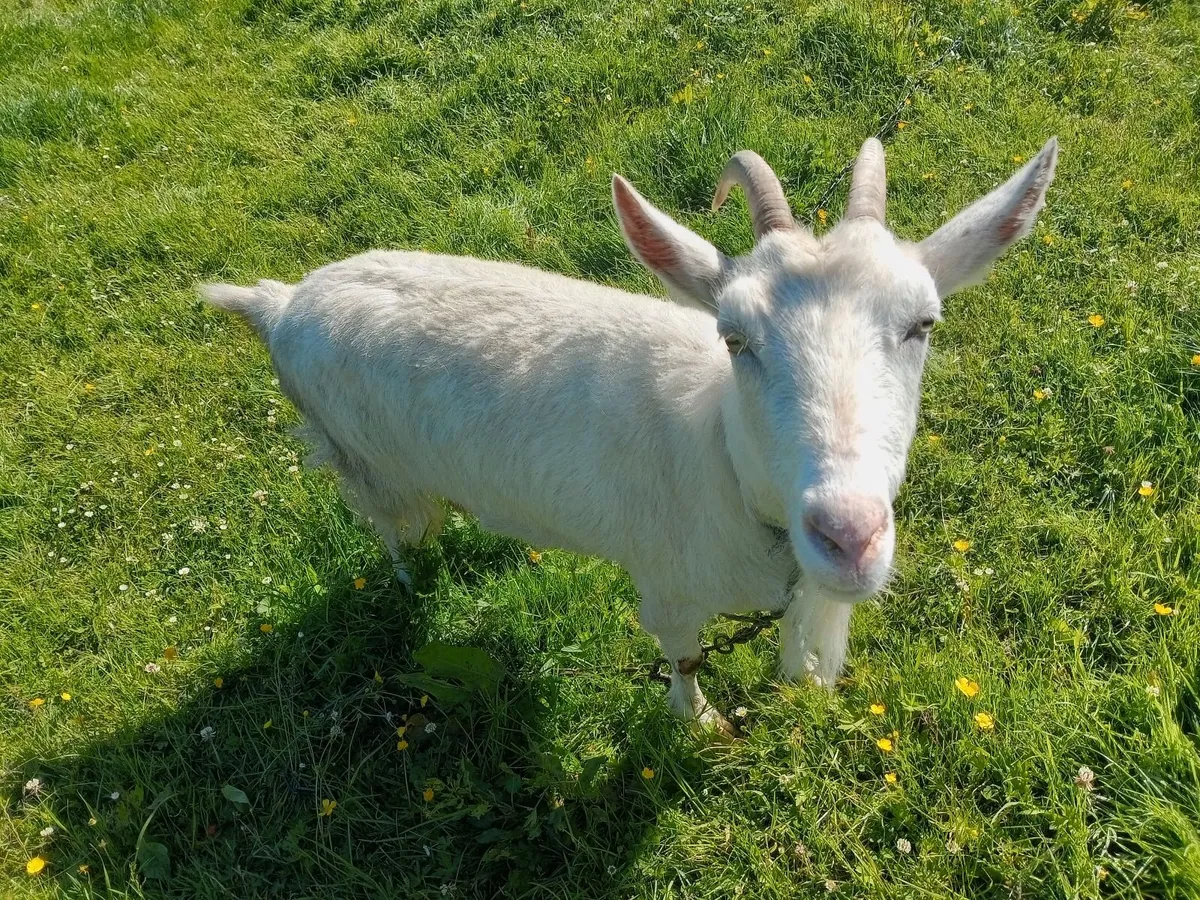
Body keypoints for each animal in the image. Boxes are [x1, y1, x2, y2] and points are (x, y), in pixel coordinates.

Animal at [203, 138, 1058, 732]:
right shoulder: (667, 589)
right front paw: (700, 723)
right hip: (364, 465)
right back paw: (417, 582)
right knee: (391, 532)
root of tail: (279, 302)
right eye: (734, 338)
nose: (848, 536)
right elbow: (682, 658)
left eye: (923, 325)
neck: (717, 455)